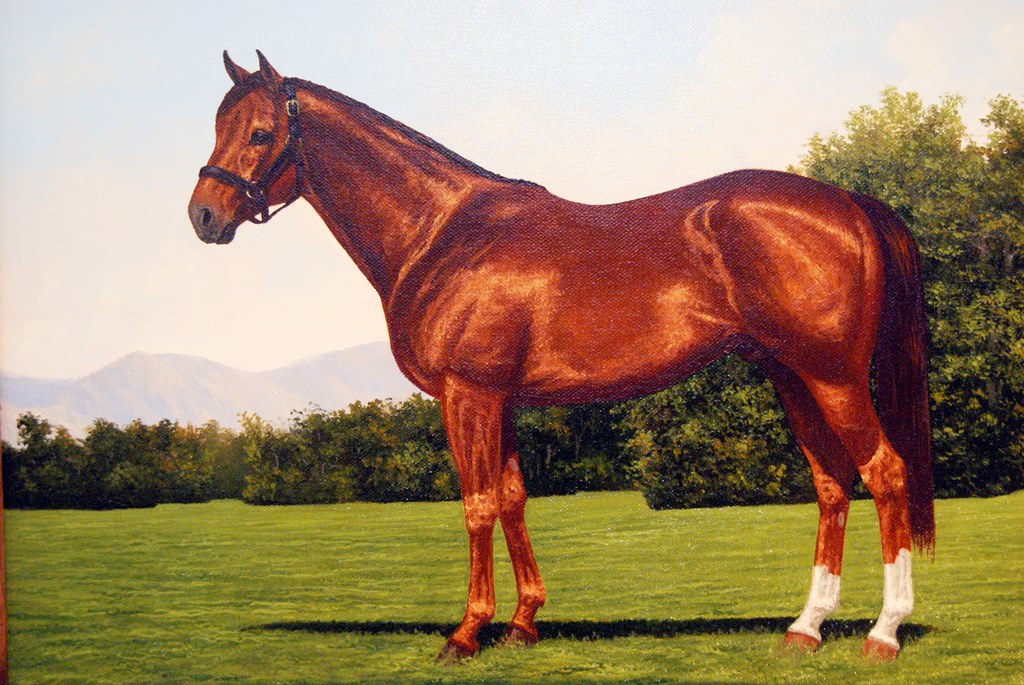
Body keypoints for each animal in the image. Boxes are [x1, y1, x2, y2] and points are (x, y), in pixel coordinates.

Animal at [189, 51, 934, 662]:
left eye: (260, 133)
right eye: (219, 125)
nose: (203, 215)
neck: (446, 232)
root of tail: (850, 203)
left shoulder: (467, 393)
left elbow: (477, 504)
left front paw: (467, 632)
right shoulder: (503, 400)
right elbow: (515, 498)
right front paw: (523, 623)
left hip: (834, 377)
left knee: (886, 472)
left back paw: (883, 632)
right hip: (793, 379)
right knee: (833, 484)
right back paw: (806, 627)